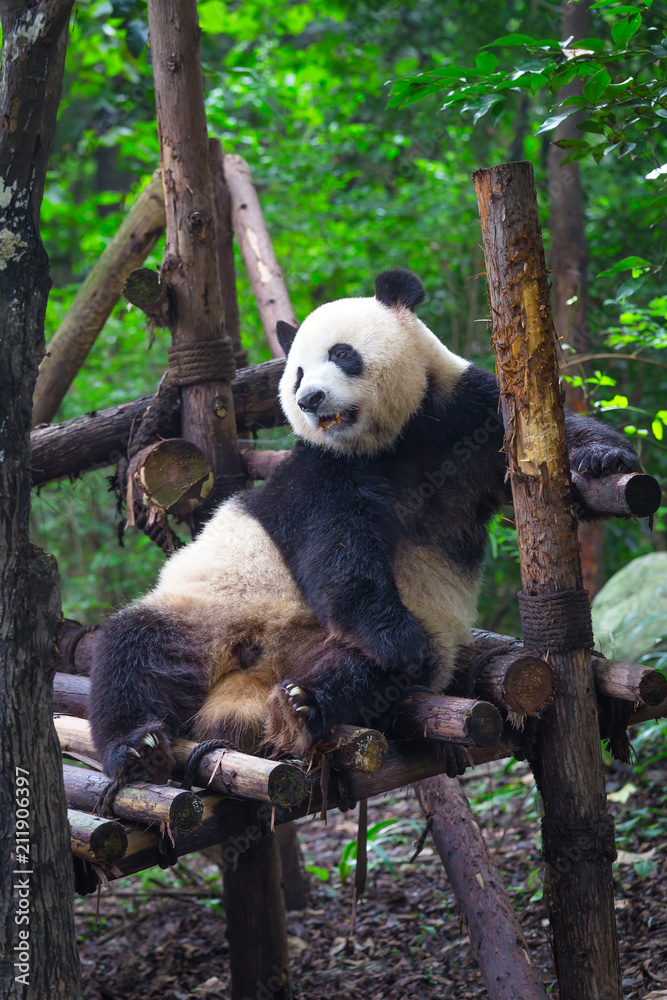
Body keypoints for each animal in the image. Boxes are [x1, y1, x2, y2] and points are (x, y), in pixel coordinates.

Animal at [89, 268, 641, 782]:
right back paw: (137, 745)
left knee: (373, 672)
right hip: (207, 611)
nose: (310, 399)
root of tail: (253, 675)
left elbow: (539, 440)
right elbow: (336, 550)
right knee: (133, 649)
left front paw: (605, 458)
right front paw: (394, 633)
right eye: (296, 374)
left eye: (342, 354)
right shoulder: (321, 473)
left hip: (353, 640)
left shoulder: (462, 413)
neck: (395, 440)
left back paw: (305, 704)